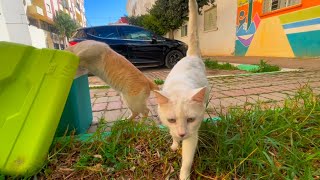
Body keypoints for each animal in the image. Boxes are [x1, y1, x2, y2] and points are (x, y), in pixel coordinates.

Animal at [154, 0, 209, 179]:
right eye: (171, 120)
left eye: (191, 119)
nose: (182, 134)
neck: (180, 86)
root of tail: (191, 56)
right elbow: (171, 134)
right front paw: (174, 144)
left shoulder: (193, 135)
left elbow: (186, 161)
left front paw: (184, 175)